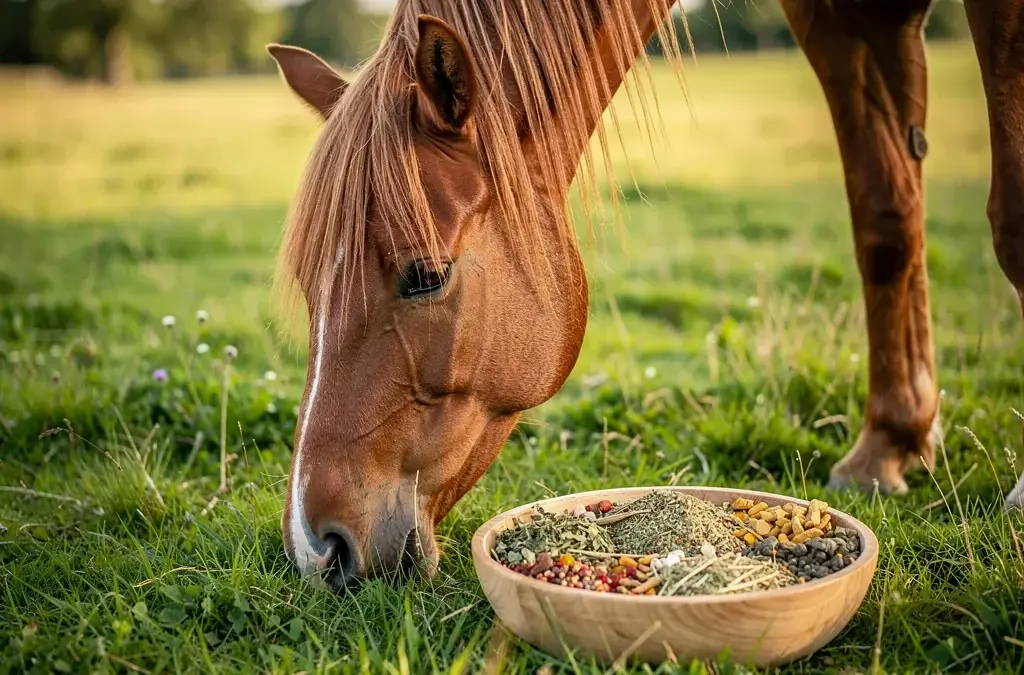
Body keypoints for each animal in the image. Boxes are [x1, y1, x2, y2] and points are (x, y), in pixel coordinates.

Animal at [267, 0, 1024, 587]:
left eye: (424, 274)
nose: (318, 548)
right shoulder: (843, 22)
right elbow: (885, 222)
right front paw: (889, 446)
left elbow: (1007, 220)